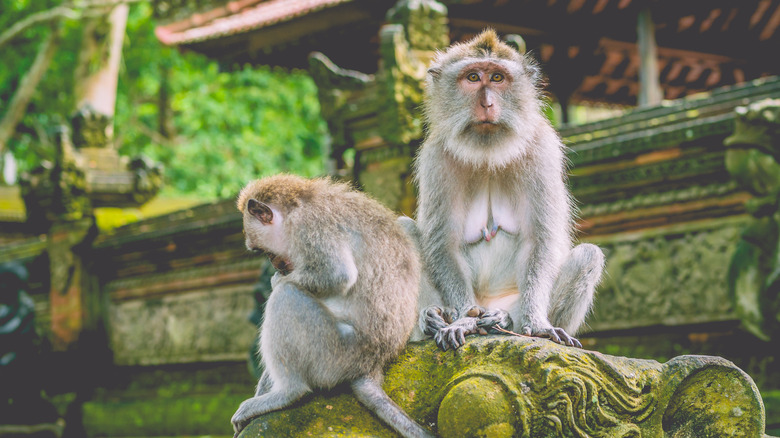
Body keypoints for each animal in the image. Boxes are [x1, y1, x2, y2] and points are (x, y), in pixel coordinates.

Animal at [232, 175, 432, 438]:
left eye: (263, 251)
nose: (275, 266)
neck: (298, 204)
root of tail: (373, 365)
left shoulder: (309, 227)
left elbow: (337, 274)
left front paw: (276, 281)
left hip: (335, 353)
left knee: (286, 296)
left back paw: (288, 392)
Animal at [406, 29, 608, 350]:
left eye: (498, 78)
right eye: (473, 77)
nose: (487, 104)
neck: (488, 153)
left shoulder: (542, 148)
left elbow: (541, 239)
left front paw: (536, 324)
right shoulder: (435, 157)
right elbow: (443, 243)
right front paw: (463, 319)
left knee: (588, 256)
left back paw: (503, 319)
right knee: (402, 229)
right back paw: (433, 318)